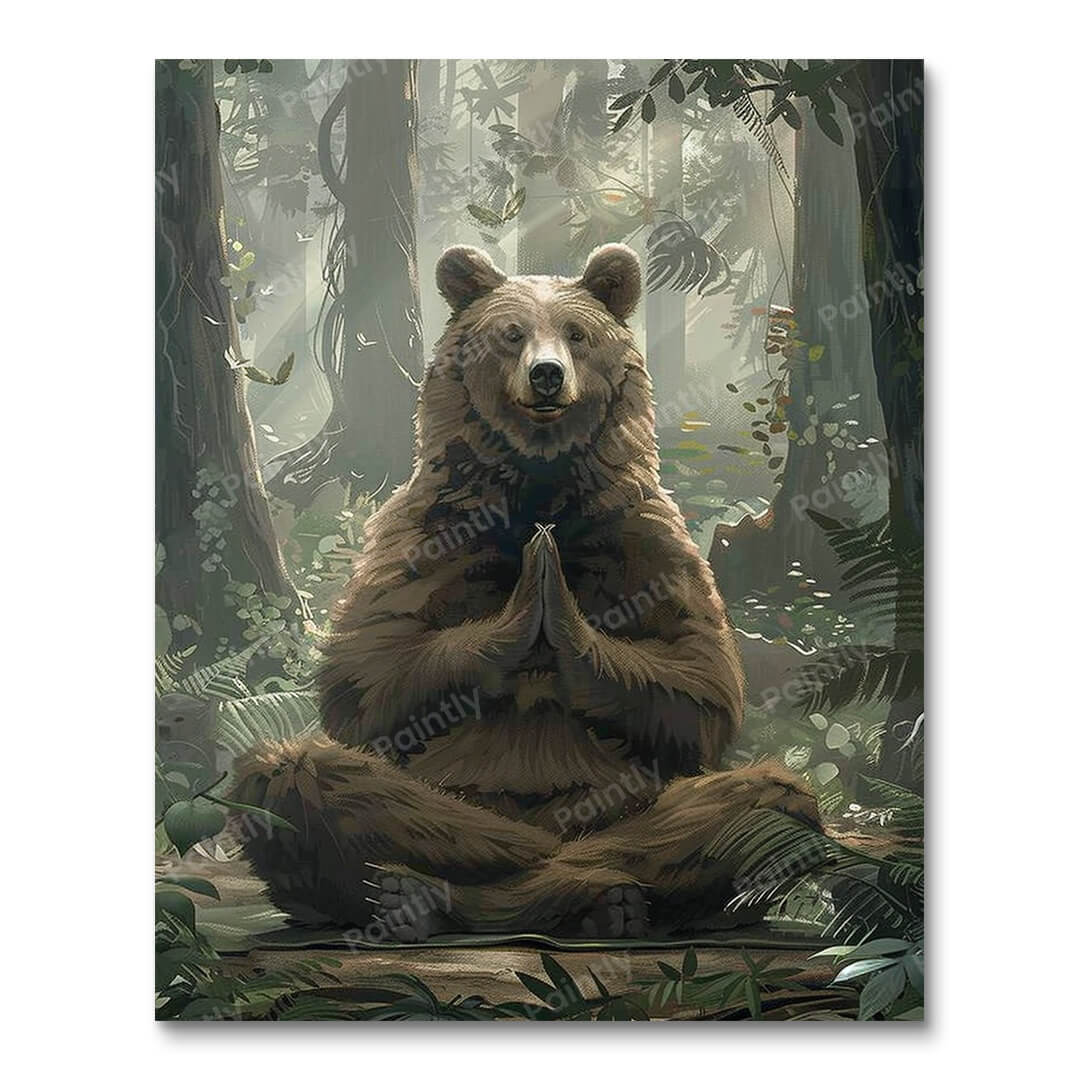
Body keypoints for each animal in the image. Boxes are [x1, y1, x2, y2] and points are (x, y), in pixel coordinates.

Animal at [232, 243, 820, 942]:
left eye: (577, 334)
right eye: (511, 333)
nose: (546, 376)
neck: (539, 480)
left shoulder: (644, 535)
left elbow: (699, 679)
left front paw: (557, 603)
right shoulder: (426, 533)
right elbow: (368, 676)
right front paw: (524, 602)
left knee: (766, 803)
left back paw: (605, 897)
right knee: (294, 777)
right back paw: (426, 889)